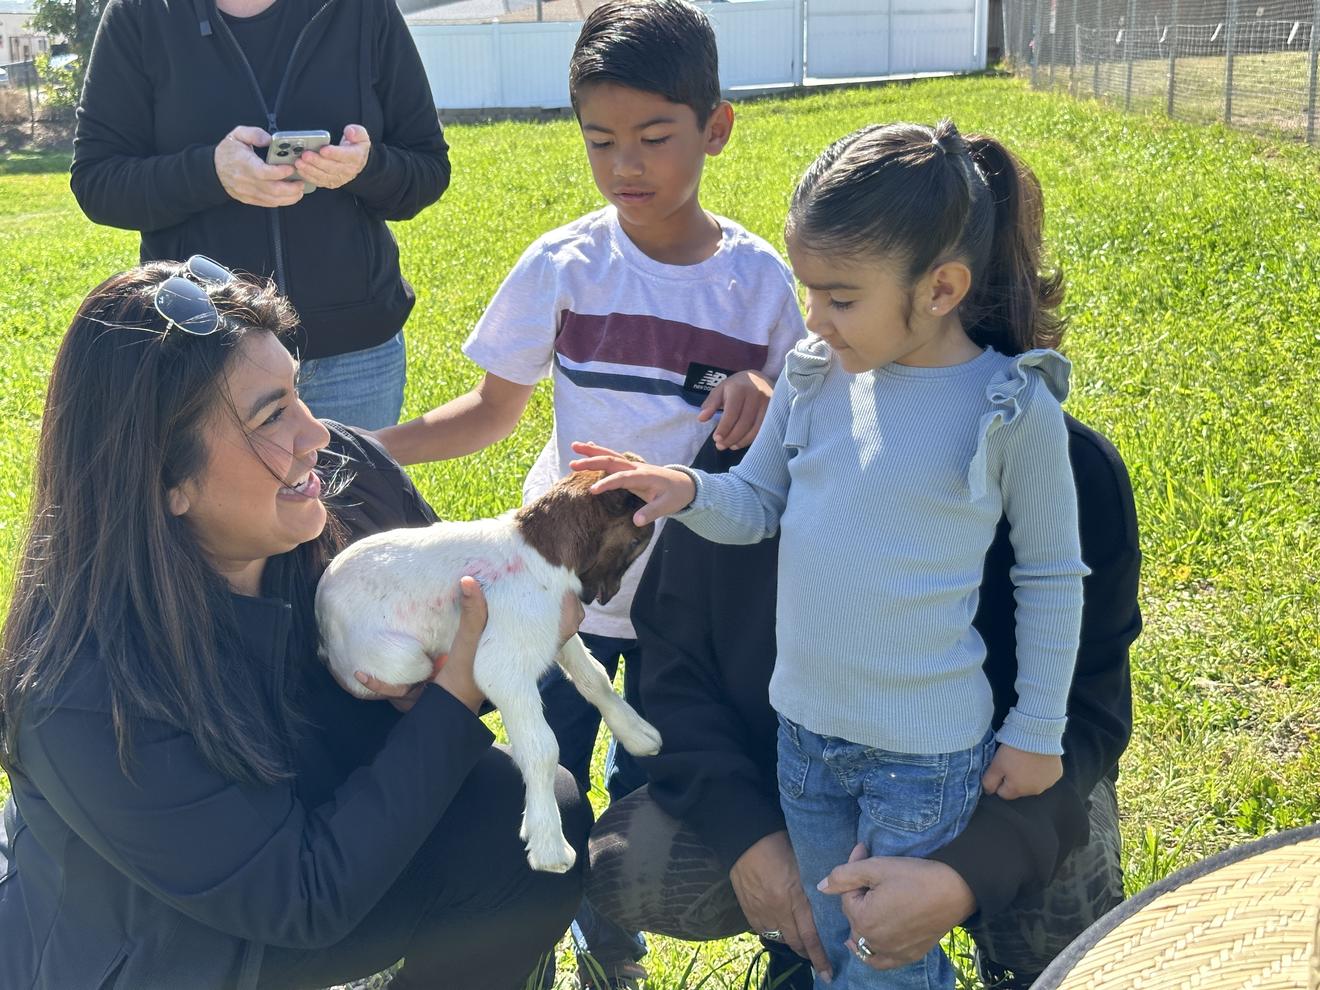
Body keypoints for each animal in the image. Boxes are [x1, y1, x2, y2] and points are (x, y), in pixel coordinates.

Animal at [315, 469, 665, 871]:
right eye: (638, 539)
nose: (603, 597)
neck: (539, 551)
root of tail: (320, 626)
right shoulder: (504, 666)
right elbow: (542, 746)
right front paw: (549, 846)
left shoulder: (553, 631)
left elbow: (593, 676)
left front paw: (640, 735)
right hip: (398, 658)